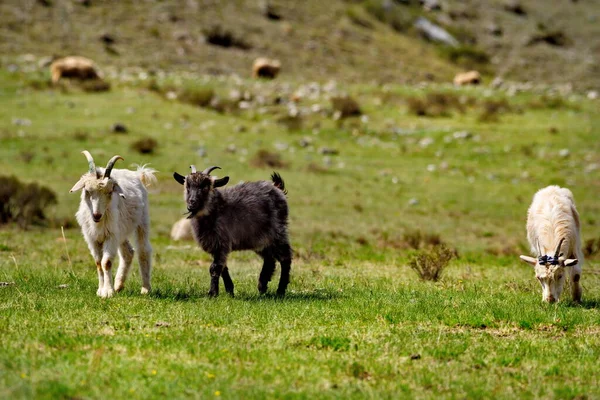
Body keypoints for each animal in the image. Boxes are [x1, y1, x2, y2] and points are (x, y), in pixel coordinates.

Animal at [69, 150, 157, 296]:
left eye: (110, 191)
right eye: (87, 191)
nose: (96, 215)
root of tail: (138, 174)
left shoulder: (110, 236)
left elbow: (107, 262)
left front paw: (108, 292)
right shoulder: (92, 238)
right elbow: (98, 262)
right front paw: (101, 290)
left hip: (141, 221)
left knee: (144, 250)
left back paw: (145, 289)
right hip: (121, 230)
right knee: (128, 252)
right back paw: (118, 285)